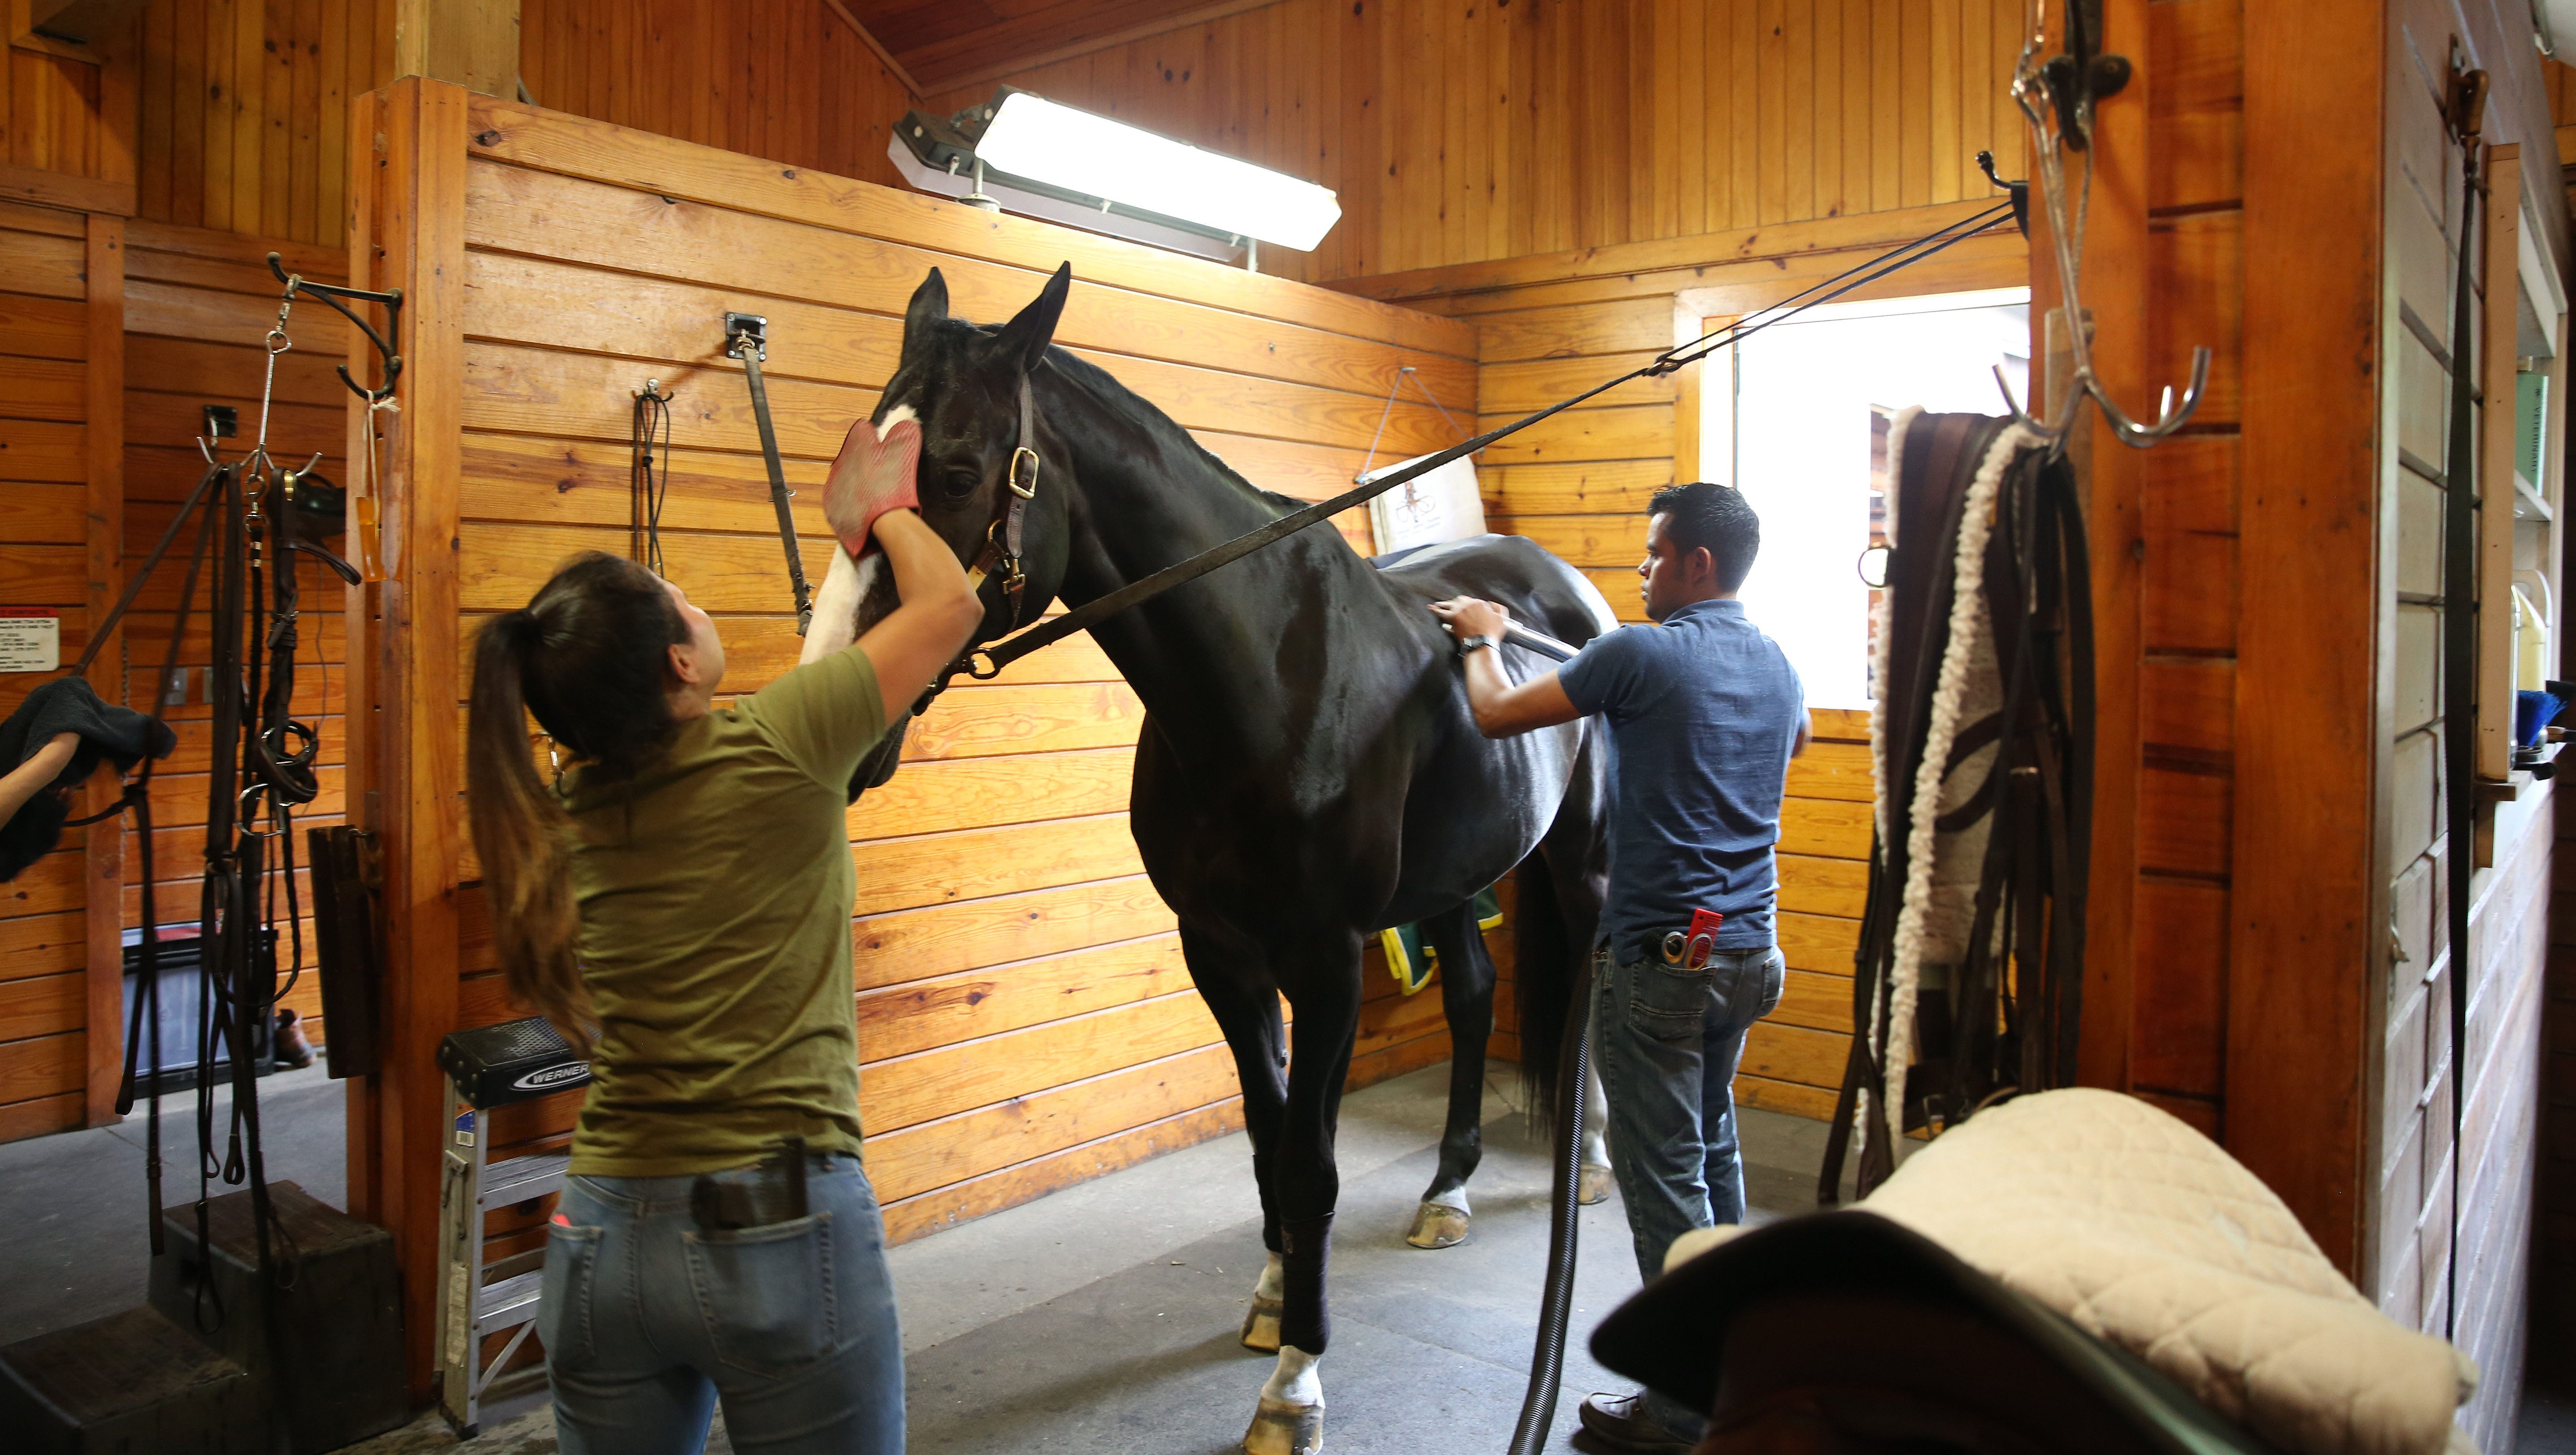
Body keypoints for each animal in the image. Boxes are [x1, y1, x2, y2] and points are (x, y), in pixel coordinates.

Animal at [802, 263, 1615, 1453]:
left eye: (952, 472)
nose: (837, 699)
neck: (1267, 675)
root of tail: (1562, 588)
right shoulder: (1218, 951)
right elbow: (1266, 1134)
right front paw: (1275, 1297)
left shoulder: (1324, 960)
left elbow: (1312, 1161)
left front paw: (1295, 1381)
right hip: (1454, 876)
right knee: (1471, 997)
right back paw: (1446, 1191)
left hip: (1577, 858)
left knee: (1591, 995)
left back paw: (1589, 1158)